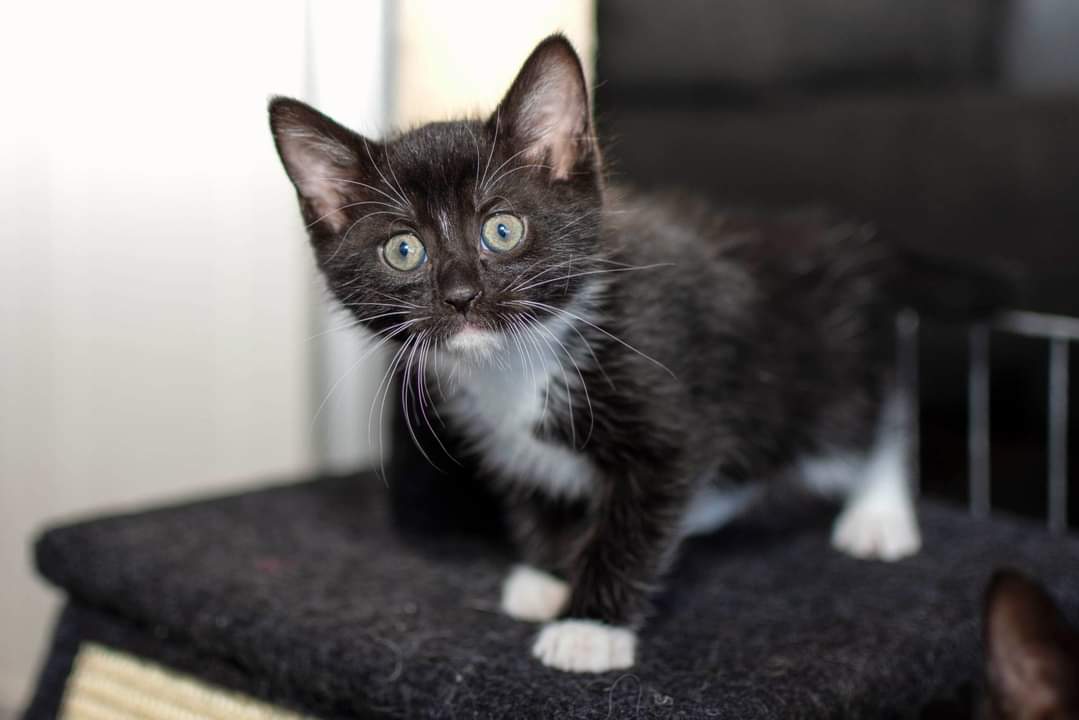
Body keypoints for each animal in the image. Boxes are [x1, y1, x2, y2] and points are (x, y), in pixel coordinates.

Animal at [269, 34, 924, 673]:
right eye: (403, 250)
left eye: (502, 230)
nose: (460, 296)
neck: (519, 360)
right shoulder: (500, 432)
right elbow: (535, 486)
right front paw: (547, 575)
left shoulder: (672, 411)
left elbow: (637, 517)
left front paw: (589, 627)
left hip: (833, 362)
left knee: (881, 408)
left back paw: (879, 514)